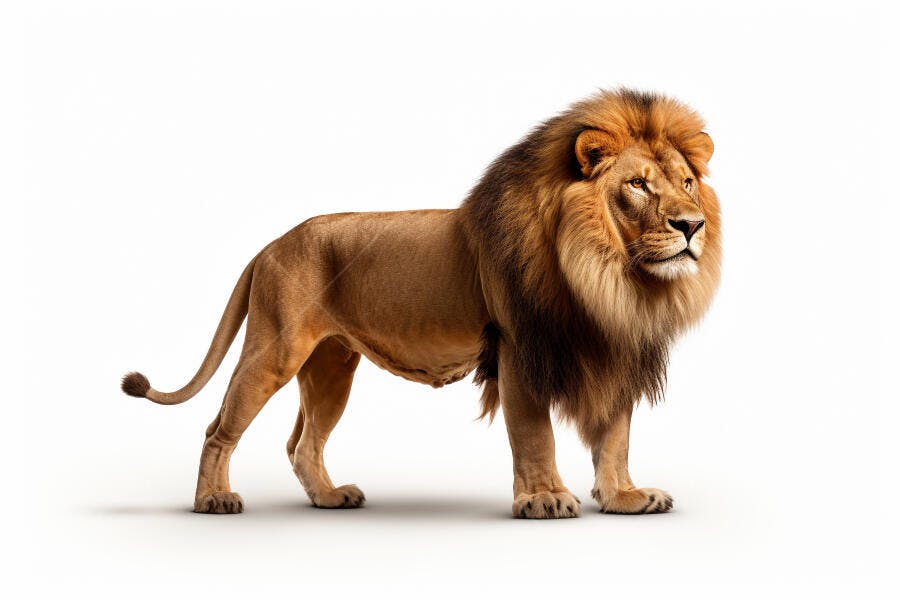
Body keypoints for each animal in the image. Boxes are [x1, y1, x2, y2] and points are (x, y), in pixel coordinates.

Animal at [122, 89, 721, 518]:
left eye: (688, 182)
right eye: (638, 185)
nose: (692, 225)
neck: (612, 280)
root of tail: (270, 246)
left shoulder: (616, 347)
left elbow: (615, 437)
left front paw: (625, 497)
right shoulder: (517, 347)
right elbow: (534, 433)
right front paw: (545, 498)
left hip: (331, 365)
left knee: (303, 442)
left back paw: (330, 497)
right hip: (275, 349)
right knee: (218, 429)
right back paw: (212, 500)